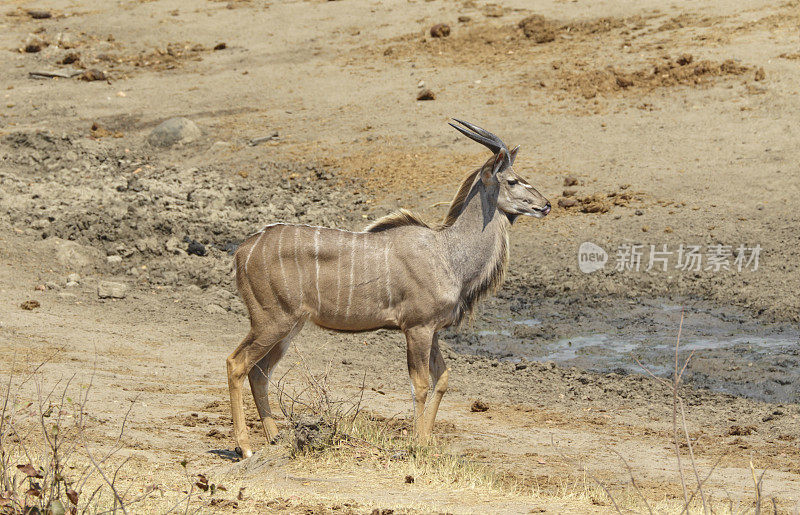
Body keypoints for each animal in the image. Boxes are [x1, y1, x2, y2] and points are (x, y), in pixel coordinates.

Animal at [228, 119, 548, 458]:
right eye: (512, 180)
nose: (546, 205)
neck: (448, 254)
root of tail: (242, 252)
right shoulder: (417, 328)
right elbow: (420, 384)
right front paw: (416, 445)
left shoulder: (432, 330)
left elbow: (443, 378)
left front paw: (426, 441)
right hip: (271, 321)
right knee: (237, 364)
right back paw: (245, 447)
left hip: (290, 327)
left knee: (259, 371)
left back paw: (274, 438)